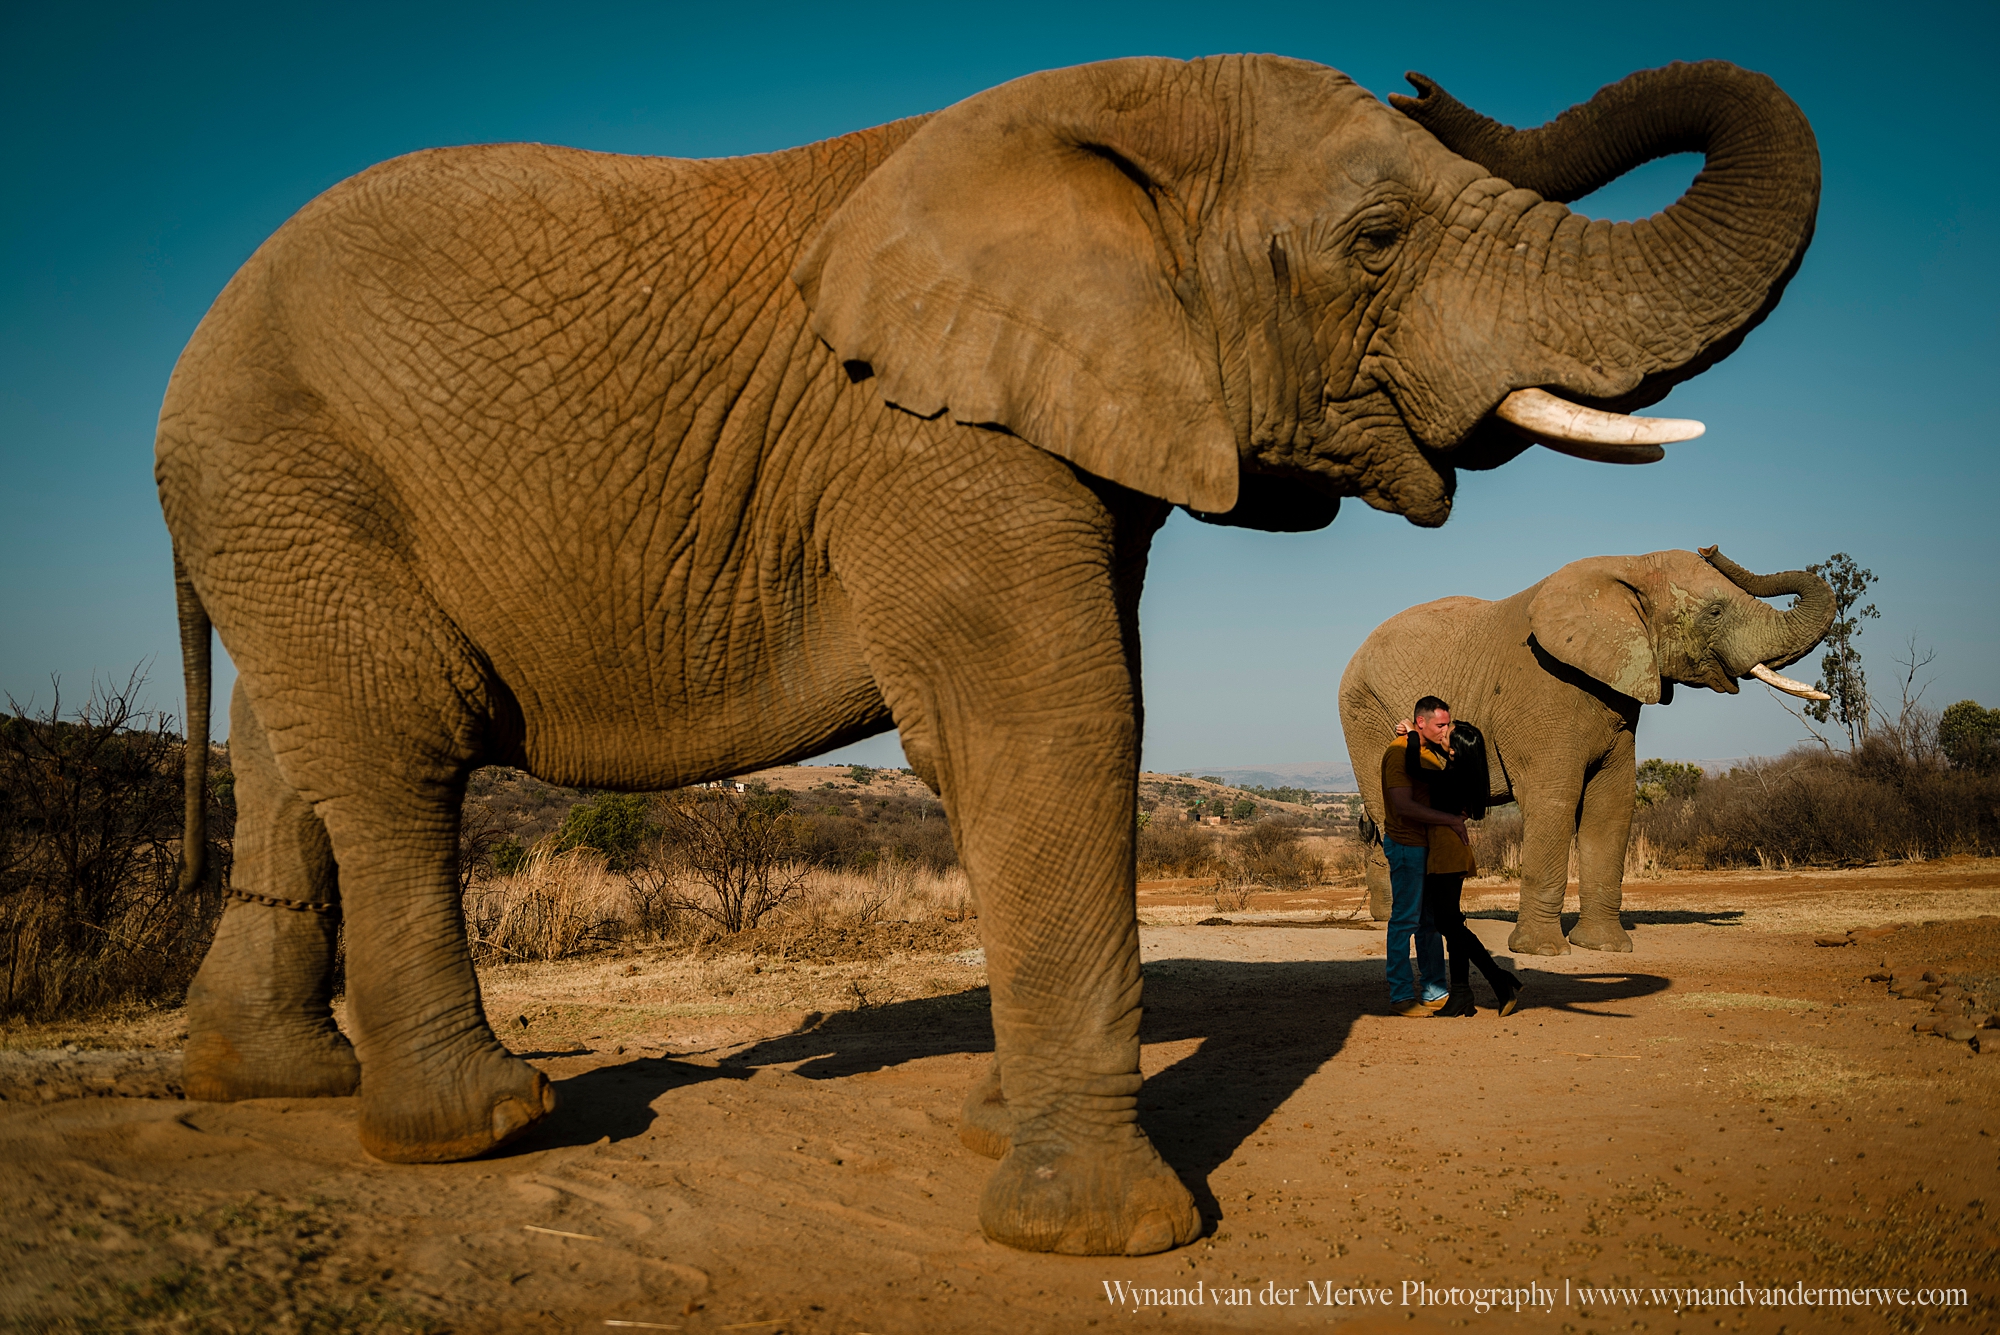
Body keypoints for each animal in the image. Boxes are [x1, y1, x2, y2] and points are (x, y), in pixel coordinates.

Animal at [1336, 547, 1832, 955]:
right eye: (1714, 611)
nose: (1709, 546)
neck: (1629, 565)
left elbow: (1611, 805)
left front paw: (1606, 948)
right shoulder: (1543, 689)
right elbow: (1554, 800)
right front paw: (1542, 952)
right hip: (1363, 715)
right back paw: (1409, 921)